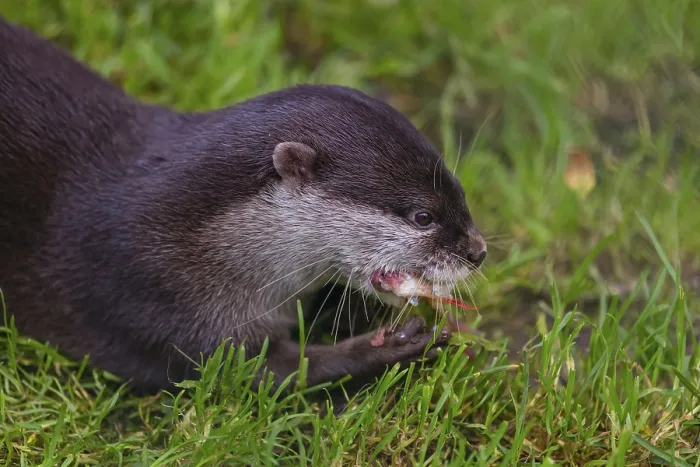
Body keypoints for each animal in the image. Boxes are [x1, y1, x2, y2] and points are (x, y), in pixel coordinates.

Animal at [0, 17, 487, 393]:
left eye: (460, 193)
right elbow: (263, 373)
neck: (193, 236)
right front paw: (393, 344)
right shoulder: (162, 300)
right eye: (422, 216)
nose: (478, 252)